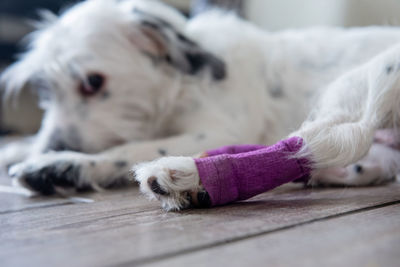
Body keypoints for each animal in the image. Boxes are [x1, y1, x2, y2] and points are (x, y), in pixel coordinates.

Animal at [0, 0, 400, 209]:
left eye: (92, 82)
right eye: (45, 89)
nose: (54, 146)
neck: (182, 82)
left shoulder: (217, 130)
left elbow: (132, 148)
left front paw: (63, 163)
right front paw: (22, 148)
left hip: (373, 81)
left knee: (317, 143)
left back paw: (183, 176)